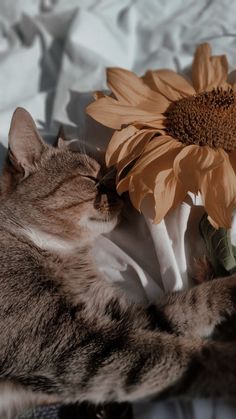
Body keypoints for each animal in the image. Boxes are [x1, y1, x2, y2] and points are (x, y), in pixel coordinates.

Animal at [0, 106, 236, 418]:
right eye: (91, 180)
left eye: (111, 178)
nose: (121, 193)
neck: (63, 254)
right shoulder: (71, 342)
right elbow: (182, 358)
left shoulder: (118, 313)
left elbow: (190, 303)